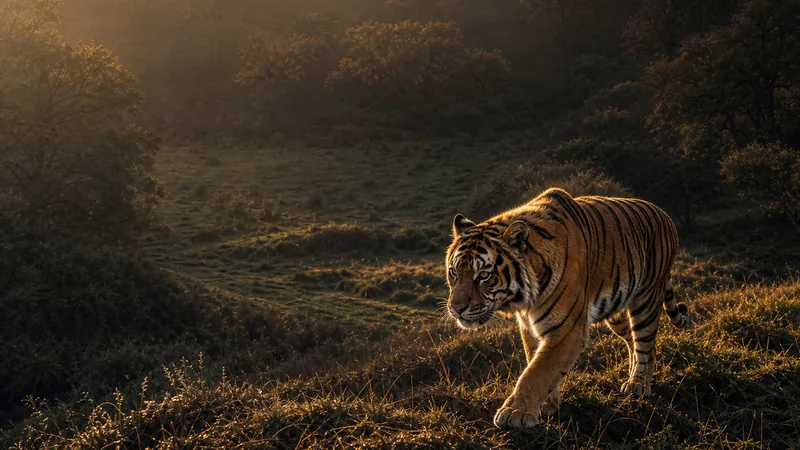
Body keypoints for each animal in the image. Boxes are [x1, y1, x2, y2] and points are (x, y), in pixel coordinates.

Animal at [444, 187, 688, 429]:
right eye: (454, 272)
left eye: (484, 275)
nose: (456, 309)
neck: (526, 300)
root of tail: (664, 215)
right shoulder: (531, 327)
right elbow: (537, 362)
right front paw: (547, 406)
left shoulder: (567, 330)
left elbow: (537, 371)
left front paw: (515, 413)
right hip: (616, 312)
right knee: (633, 341)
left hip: (646, 300)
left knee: (645, 344)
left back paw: (639, 384)